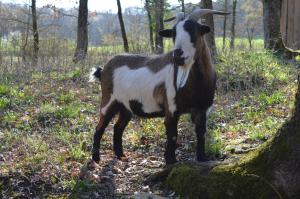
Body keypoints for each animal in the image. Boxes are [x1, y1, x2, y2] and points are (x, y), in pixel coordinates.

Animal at [90, 8, 229, 165]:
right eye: (174, 32)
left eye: (194, 30)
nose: (177, 55)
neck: (196, 84)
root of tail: (104, 69)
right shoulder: (172, 108)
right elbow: (172, 134)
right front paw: (170, 160)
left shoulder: (203, 109)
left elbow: (201, 133)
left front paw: (202, 158)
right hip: (108, 101)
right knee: (99, 128)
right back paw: (96, 158)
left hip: (125, 107)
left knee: (117, 127)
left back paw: (121, 155)